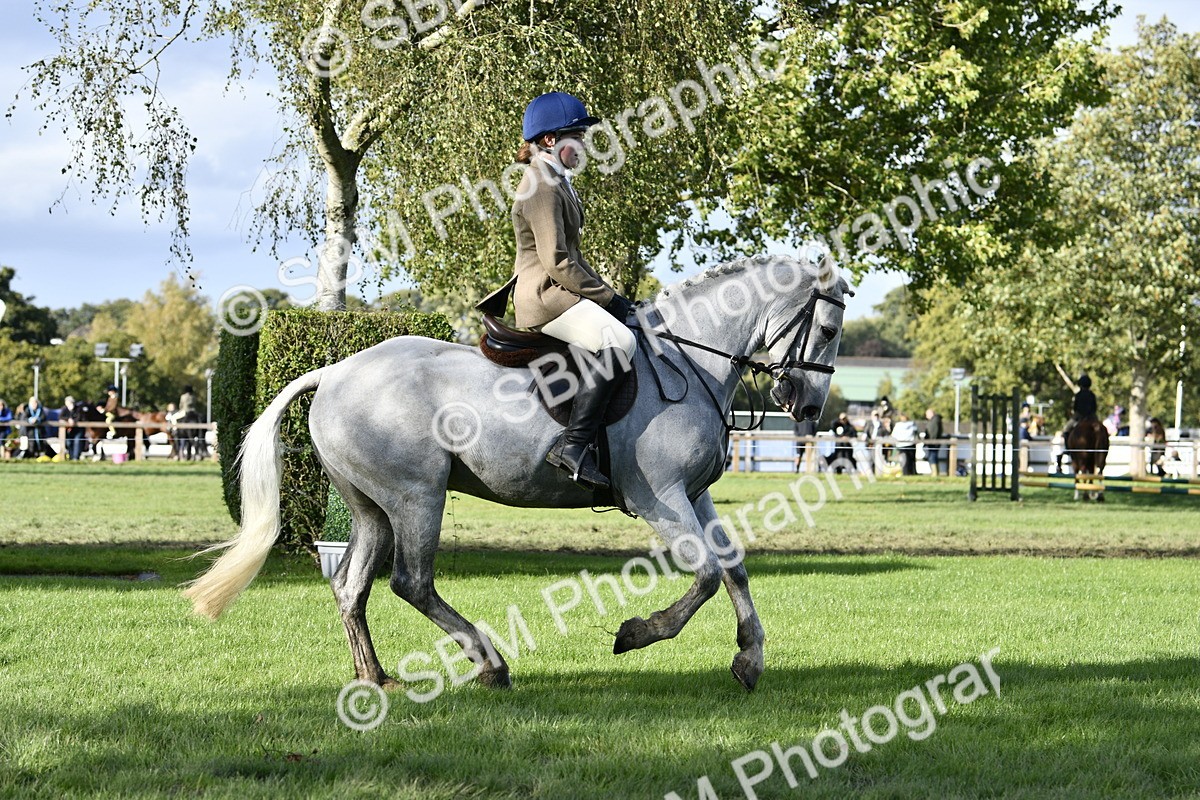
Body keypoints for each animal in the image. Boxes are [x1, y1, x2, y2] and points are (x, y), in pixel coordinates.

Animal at [185, 255, 850, 693]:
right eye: (828, 328)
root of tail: (335, 372)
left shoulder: (695, 494)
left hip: (372, 506)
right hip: (416, 496)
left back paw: (375, 677)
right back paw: (491, 665)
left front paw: (750, 659)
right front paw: (637, 632)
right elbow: (708, 574)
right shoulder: (659, 497)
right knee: (411, 583)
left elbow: (733, 565)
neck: (688, 359)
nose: (809, 407)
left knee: (352, 586)